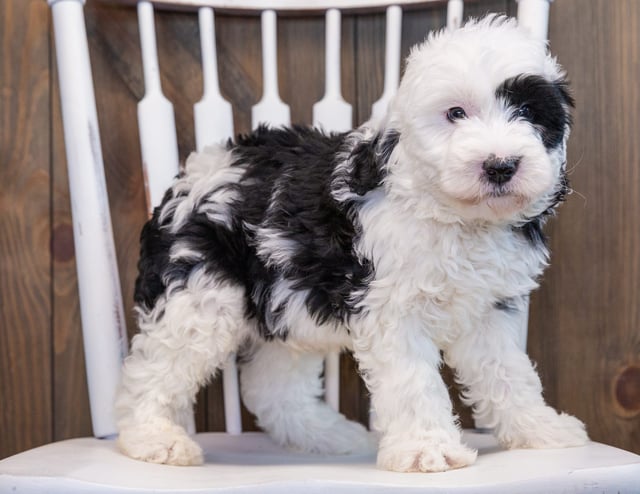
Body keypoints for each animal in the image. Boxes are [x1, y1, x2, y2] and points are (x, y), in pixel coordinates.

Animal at [116, 14, 592, 470]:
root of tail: (187, 177)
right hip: (201, 295)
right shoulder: (392, 309)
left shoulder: (487, 310)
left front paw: (540, 430)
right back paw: (153, 438)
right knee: (153, 371)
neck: (453, 213)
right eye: (456, 113)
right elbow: (414, 381)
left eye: (528, 111)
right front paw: (427, 450)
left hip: (287, 302)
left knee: (272, 386)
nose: (500, 166)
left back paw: (328, 436)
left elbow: (509, 373)